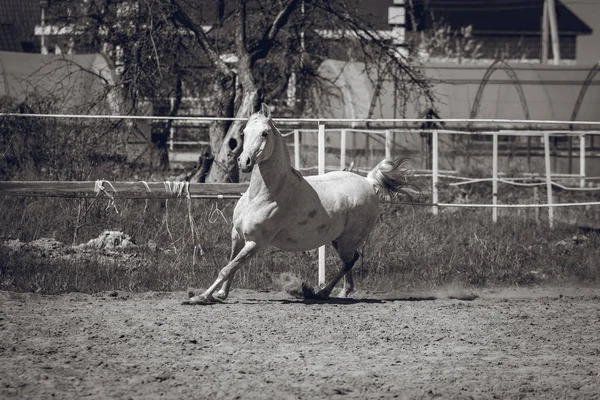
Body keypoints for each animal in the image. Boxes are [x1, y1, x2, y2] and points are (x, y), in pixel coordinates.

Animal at [188, 104, 412, 304]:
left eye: (265, 133)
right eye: (243, 133)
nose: (245, 162)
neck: (263, 196)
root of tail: (368, 181)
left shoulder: (256, 242)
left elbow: (227, 269)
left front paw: (201, 297)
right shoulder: (237, 235)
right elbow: (231, 266)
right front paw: (220, 294)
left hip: (348, 239)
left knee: (349, 261)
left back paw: (323, 292)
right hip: (338, 240)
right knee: (350, 260)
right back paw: (339, 292)